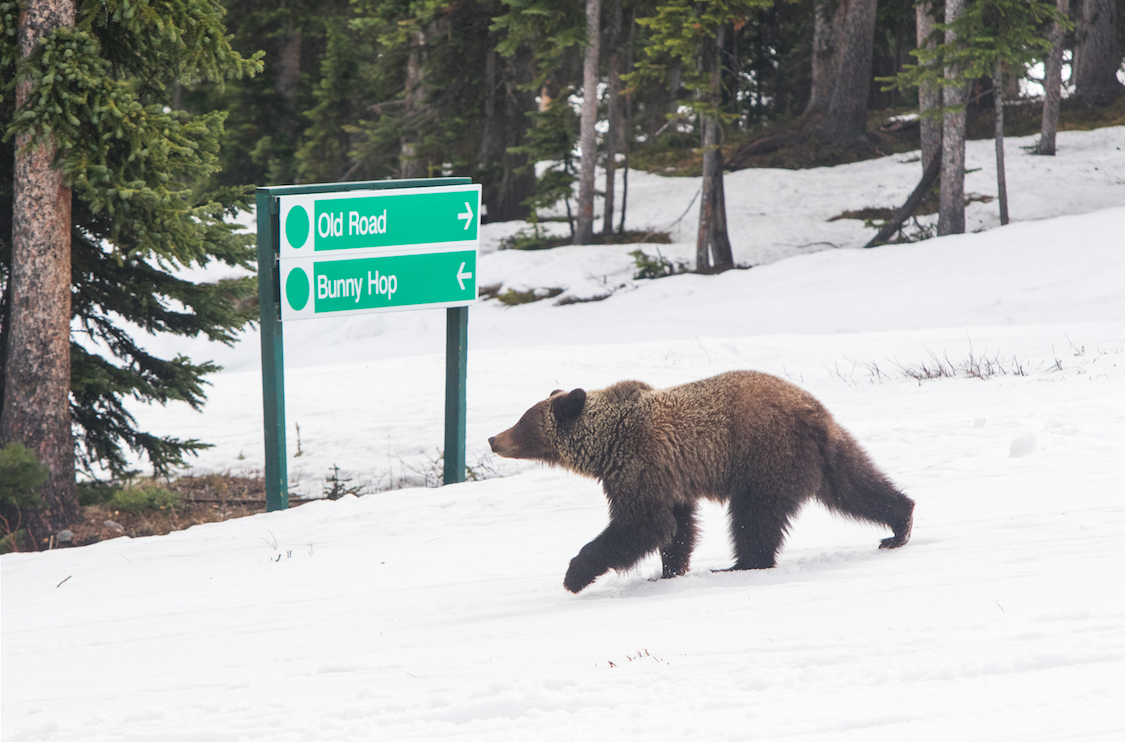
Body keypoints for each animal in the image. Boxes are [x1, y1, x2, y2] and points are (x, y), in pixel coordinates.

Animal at [489, 370, 914, 593]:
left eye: (522, 422)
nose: (493, 438)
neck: (606, 443)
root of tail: (813, 414)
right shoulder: (667, 476)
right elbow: (677, 527)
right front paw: (668, 570)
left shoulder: (637, 465)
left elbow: (640, 524)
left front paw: (574, 575)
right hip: (824, 453)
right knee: (856, 486)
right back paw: (899, 524)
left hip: (763, 453)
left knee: (754, 515)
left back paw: (740, 564)